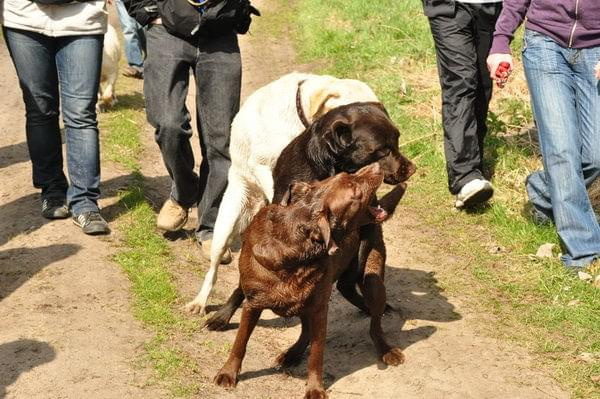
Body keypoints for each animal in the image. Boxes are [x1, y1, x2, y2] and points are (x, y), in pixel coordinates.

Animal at [213, 164, 400, 398]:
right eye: (354, 190)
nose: (377, 166)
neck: (295, 251)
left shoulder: (319, 307)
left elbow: (316, 355)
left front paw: (315, 388)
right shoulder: (253, 304)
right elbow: (240, 342)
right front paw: (228, 373)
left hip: (371, 277)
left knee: (374, 324)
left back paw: (386, 349)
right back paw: (291, 353)